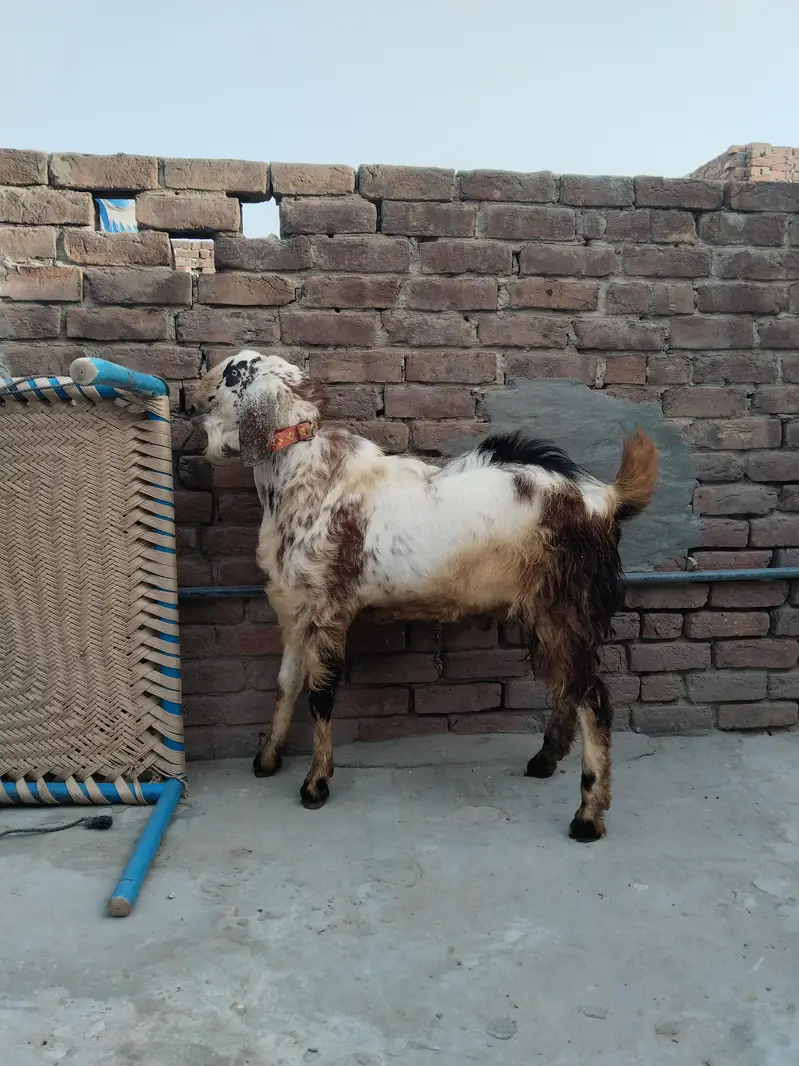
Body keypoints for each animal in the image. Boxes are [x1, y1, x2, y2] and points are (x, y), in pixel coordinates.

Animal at [192, 350, 659, 841]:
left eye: (232, 373)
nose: (191, 399)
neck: (304, 474)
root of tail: (604, 499)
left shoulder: (327, 606)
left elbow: (320, 694)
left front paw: (315, 784)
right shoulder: (296, 608)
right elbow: (286, 684)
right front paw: (267, 758)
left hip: (569, 606)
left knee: (593, 700)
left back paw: (587, 816)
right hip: (546, 613)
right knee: (566, 688)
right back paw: (544, 761)